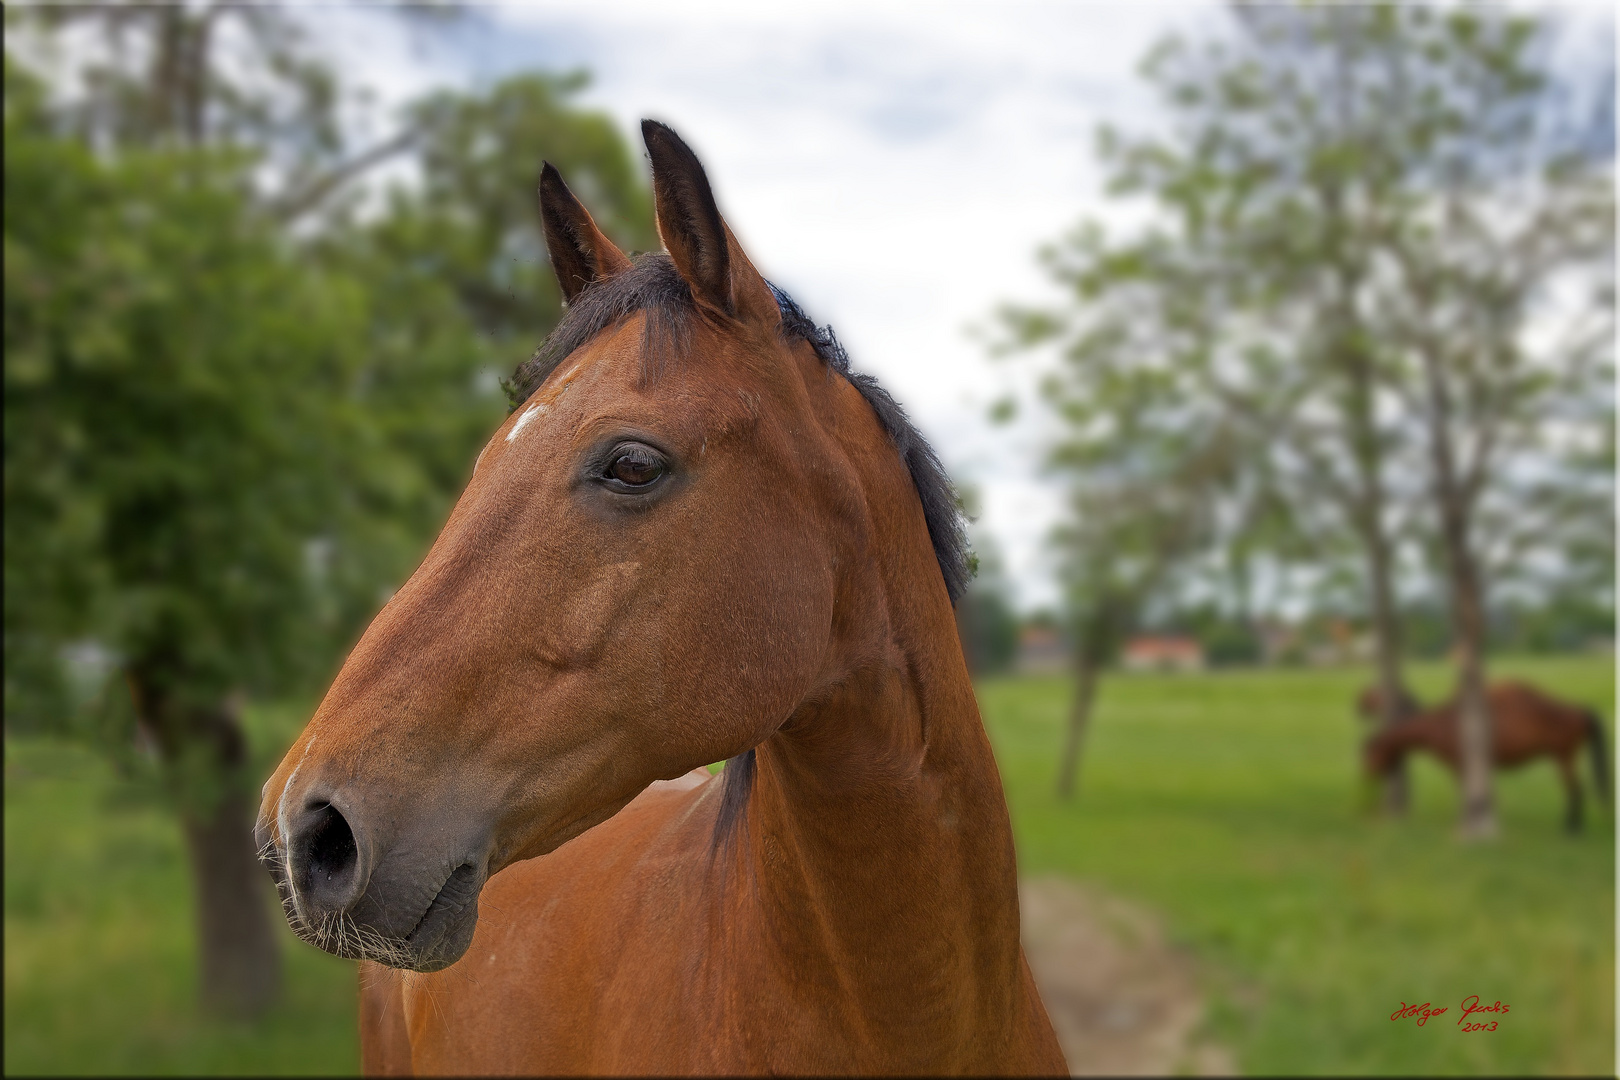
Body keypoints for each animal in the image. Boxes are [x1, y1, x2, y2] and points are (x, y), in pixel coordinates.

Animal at [1360, 683, 1613, 835]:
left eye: (1368, 754)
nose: (1367, 778)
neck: (1441, 723)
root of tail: (1577, 709)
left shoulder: (1461, 767)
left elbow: (1465, 795)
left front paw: (1466, 822)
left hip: (1564, 757)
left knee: (1575, 790)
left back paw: (1572, 829)